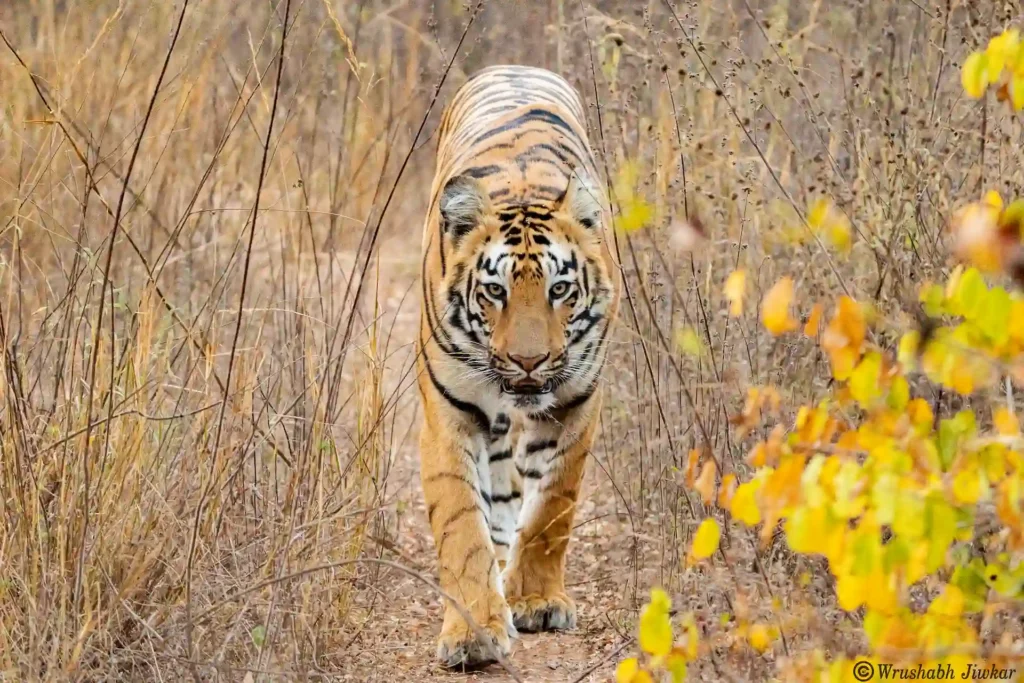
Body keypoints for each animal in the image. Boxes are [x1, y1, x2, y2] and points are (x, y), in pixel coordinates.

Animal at [415, 63, 622, 667]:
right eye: (494, 291)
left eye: (559, 289)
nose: (528, 361)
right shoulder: (449, 412)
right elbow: (461, 525)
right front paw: (474, 634)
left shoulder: (577, 402)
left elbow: (554, 506)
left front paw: (535, 601)